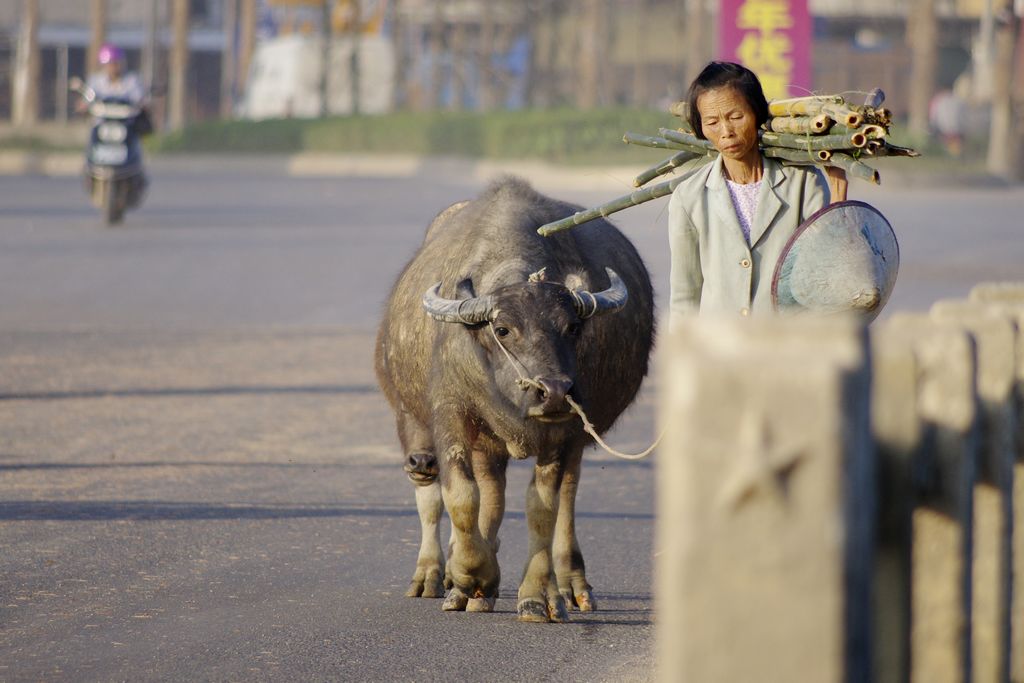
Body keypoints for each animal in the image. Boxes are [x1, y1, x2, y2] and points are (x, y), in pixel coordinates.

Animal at [376, 178, 655, 626]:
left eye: (572, 327)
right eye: (503, 329)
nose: (554, 390)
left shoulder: (562, 431)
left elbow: (542, 507)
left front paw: (536, 595)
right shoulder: (451, 414)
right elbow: (461, 496)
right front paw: (470, 575)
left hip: (572, 439)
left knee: (567, 495)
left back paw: (569, 586)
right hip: (442, 428)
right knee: (481, 492)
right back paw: (449, 579)